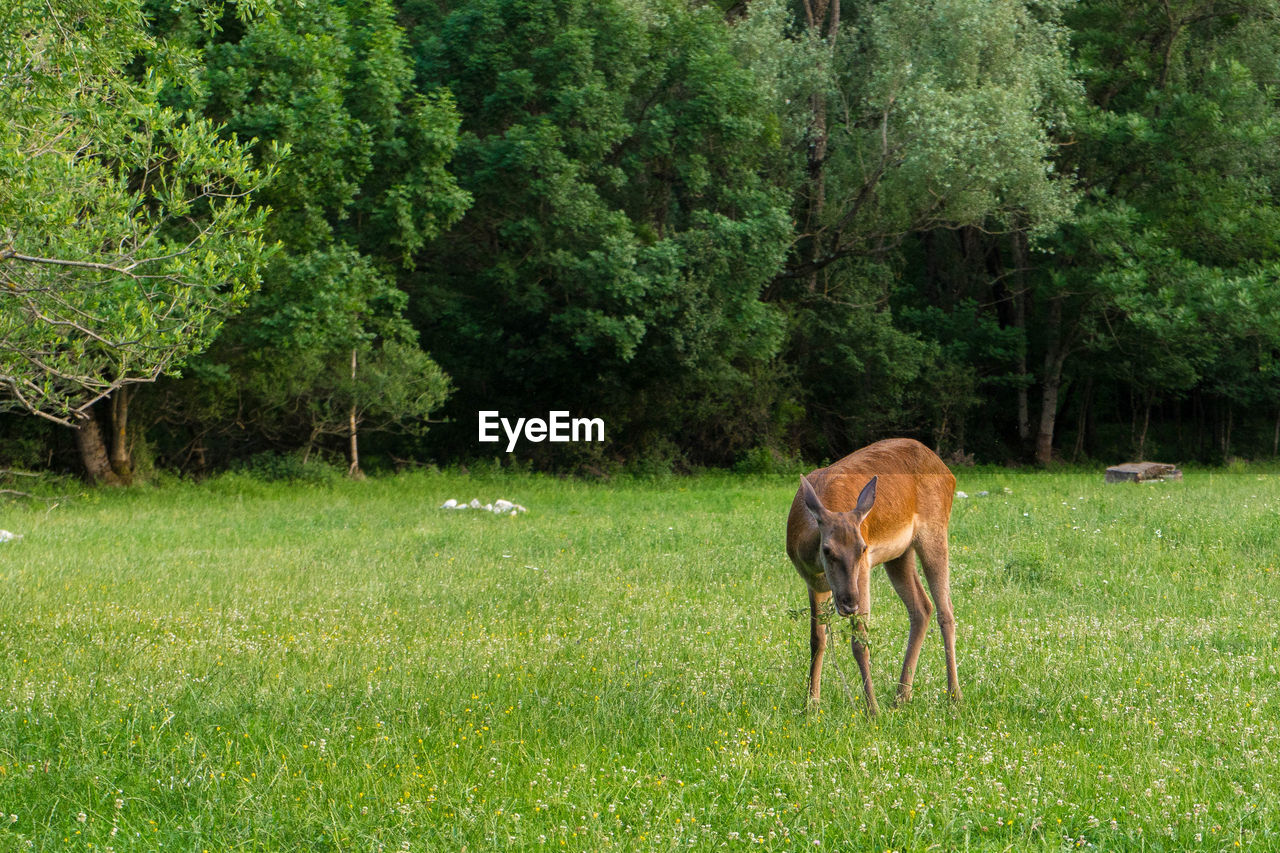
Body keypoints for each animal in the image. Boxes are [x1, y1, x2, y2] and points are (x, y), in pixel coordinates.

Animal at [778, 438, 962, 712]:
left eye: (863, 548)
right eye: (827, 550)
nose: (849, 603)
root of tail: (948, 472)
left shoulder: (863, 570)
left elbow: (860, 640)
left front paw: (872, 709)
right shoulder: (813, 581)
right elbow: (817, 639)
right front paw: (811, 703)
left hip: (935, 529)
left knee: (946, 610)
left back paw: (953, 695)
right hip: (899, 554)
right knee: (922, 607)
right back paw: (901, 695)